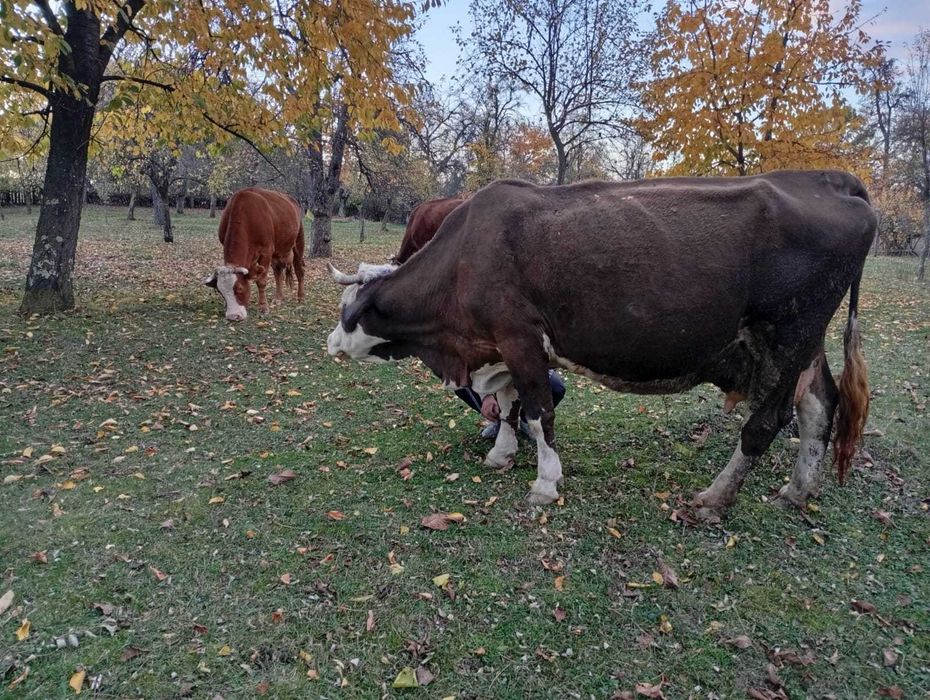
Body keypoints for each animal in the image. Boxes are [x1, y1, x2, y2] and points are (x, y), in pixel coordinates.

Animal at [204, 188, 305, 321]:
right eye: (221, 292)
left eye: (239, 288)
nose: (233, 316)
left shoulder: (266, 251)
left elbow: (261, 281)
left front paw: (263, 307)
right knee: (278, 272)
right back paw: (278, 298)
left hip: (298, 241)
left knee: (299, 270)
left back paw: (301, 297)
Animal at [326, 170, 874, 519]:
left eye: (349, 310)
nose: (331, 343)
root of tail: (826, 179)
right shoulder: (498, 345)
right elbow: (505, 401)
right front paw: (501, 454)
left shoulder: (519, 336)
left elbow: (537, 411)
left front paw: (545, 483)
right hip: (802, 344)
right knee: (819, 404)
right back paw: (797, 490)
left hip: (789, 335)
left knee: (767, 421)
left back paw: (715, 499)